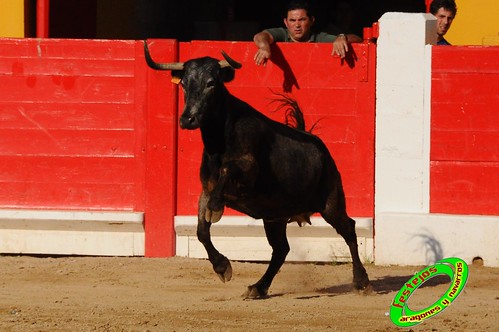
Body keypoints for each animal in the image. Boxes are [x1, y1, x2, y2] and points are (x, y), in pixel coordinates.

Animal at [145, 41, 372, 298]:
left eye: (211, 83)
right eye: (184, 83)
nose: (187, 119)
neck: (218, 141)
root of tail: (322, 149)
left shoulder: (247, 169)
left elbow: (228, 172)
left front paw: (216, 208)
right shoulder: (206, 190)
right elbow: (202, 231)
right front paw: (222, 267)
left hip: (331, 203)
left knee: (349, 229)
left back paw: (361, 281)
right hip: (275, 215)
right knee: (281, 249)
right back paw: (258, 287)